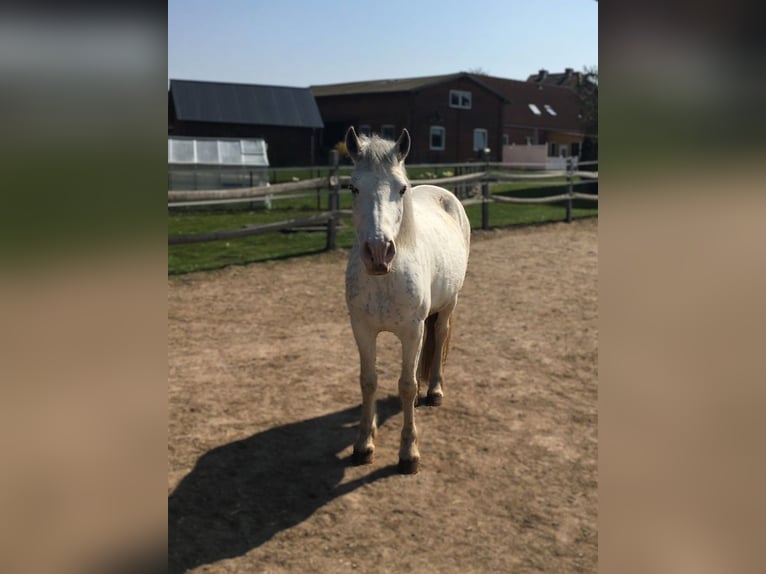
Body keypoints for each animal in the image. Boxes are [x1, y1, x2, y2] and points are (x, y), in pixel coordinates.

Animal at [346, 128, 468, 474]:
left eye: (401, 189)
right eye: (353, 187)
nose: (378, 252)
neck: (384, 279)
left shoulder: (411, 332)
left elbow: (407, 384)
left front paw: (408, 453)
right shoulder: (362, 329)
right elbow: (368, 381)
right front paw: (364, 443)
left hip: (449, 304)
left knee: (439, 336)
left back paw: (435, 390)